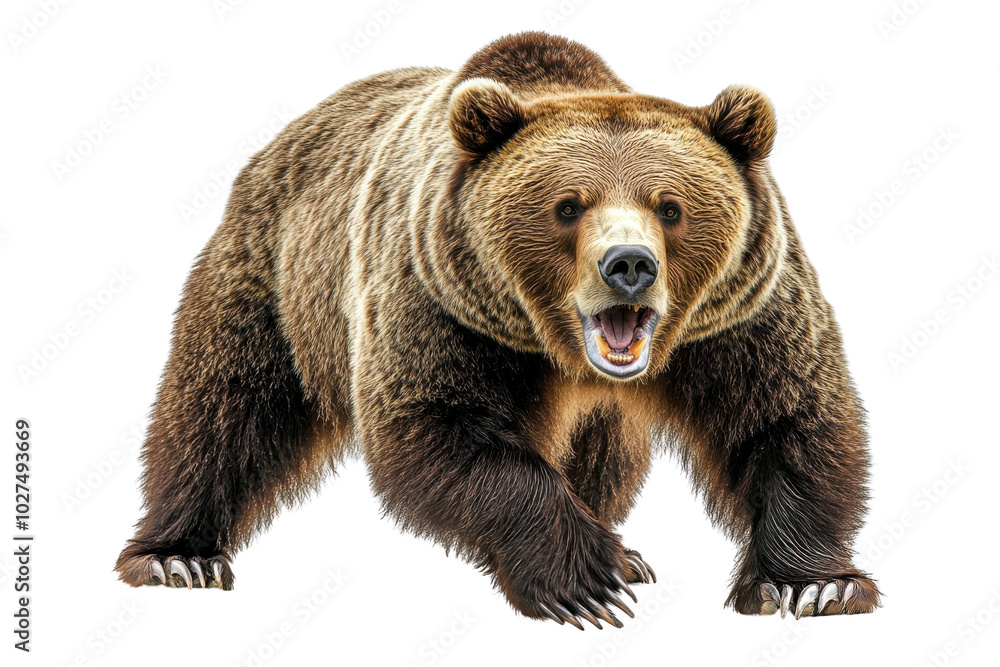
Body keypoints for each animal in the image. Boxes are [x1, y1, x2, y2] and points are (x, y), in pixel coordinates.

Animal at [116, 31, 881, 627]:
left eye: (671, 207)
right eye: (568, 205)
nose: (629, 266)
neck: (559, 350)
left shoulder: (736, 315)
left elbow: (785, 416)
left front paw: (812, 585)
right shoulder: (443, 300)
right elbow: (441, 426)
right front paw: (585, 581)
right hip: (275, 277)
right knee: (224, 404)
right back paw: (179, 556)